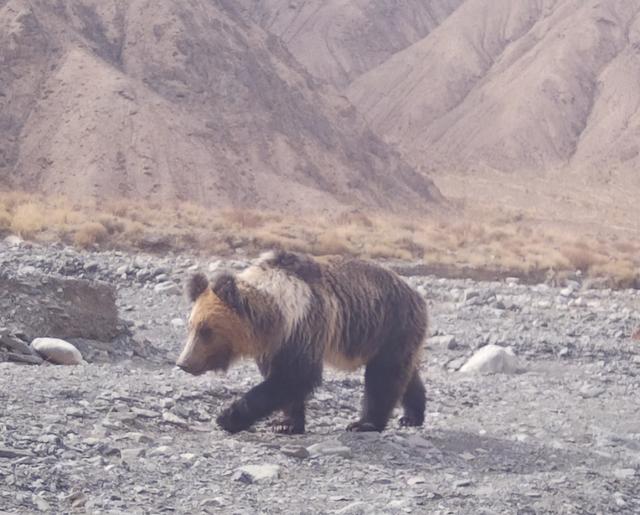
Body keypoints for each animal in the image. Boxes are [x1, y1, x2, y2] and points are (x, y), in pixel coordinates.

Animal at [175, 251, 428, 436]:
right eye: (191, 326)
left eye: (207, 331)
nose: (183, 363)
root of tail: (415, 293)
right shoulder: (276, 344)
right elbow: (282, 380)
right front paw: (286, 423)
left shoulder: (304, 325)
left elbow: (294, 376)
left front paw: (227, 416)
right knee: (405, 373)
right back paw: (412, 415)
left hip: (391, 324)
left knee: (383, 376)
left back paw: (365, 423)